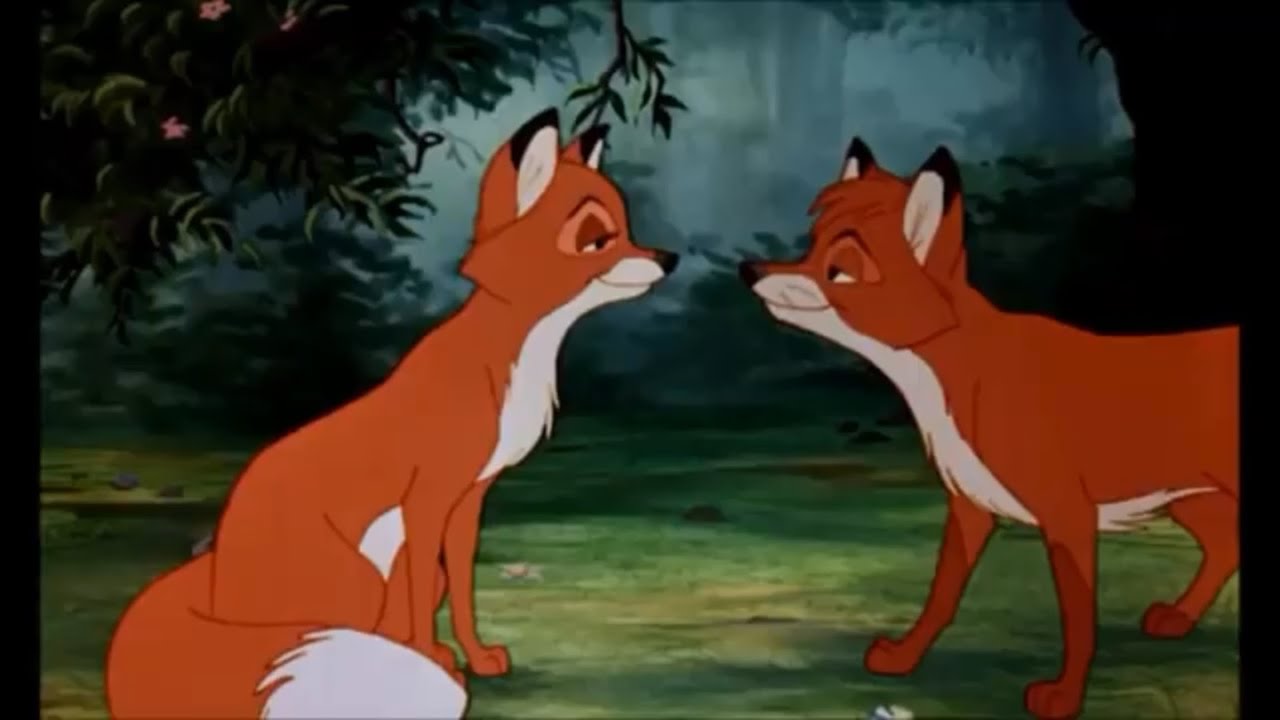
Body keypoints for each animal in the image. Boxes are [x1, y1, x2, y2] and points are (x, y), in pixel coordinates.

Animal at [104, 107, 679, 719]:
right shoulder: (426, 499)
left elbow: (461, 596)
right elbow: (416, 610)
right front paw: (432, 662)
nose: (669, 259)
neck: (511, 359)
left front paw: (473, 659)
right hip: (356, 581)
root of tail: (213, 582)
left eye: (628, 228)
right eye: (598, 238)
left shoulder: (468, 499)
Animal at [739, 137, 1238, 719]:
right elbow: (941, 598)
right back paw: (1179, 618)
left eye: (839, 269)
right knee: (1226, 545)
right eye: (809, 245)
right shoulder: (970, 507)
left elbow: (1077, 620)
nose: (749, 270)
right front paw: (904, 658)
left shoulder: (1068, 517)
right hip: (1188, 499)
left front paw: (1064, 697)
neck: (959, 379)